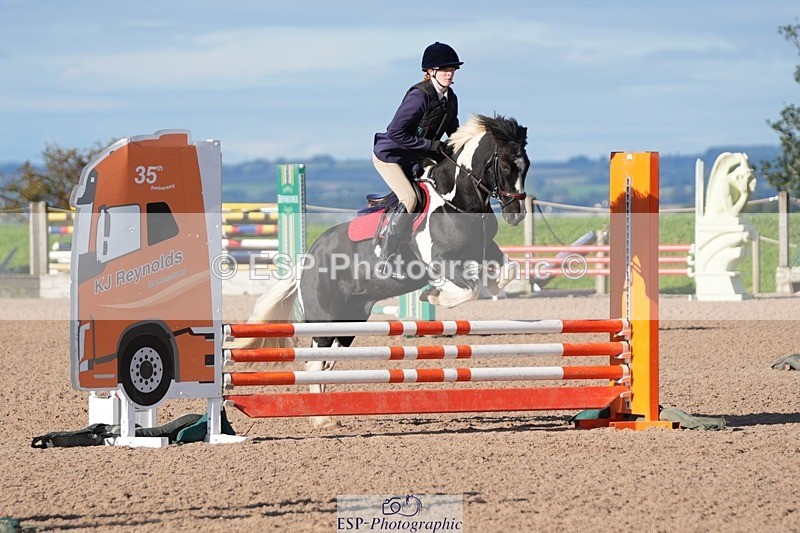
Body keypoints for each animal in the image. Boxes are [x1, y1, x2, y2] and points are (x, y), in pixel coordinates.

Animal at [235, 114, 530, 427]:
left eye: (527, 165)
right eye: (506, 165)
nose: (516, 215)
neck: (457, 201)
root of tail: (308, 258)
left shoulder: (483, 250)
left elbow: (507, 271)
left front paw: (490, 285)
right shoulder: (439, 260)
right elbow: (467, 290)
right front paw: (433, 295)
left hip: (351, 319)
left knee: (327, 361)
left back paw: (326, 413)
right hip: (324, 318)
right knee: (315, 360)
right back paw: (321, 419)